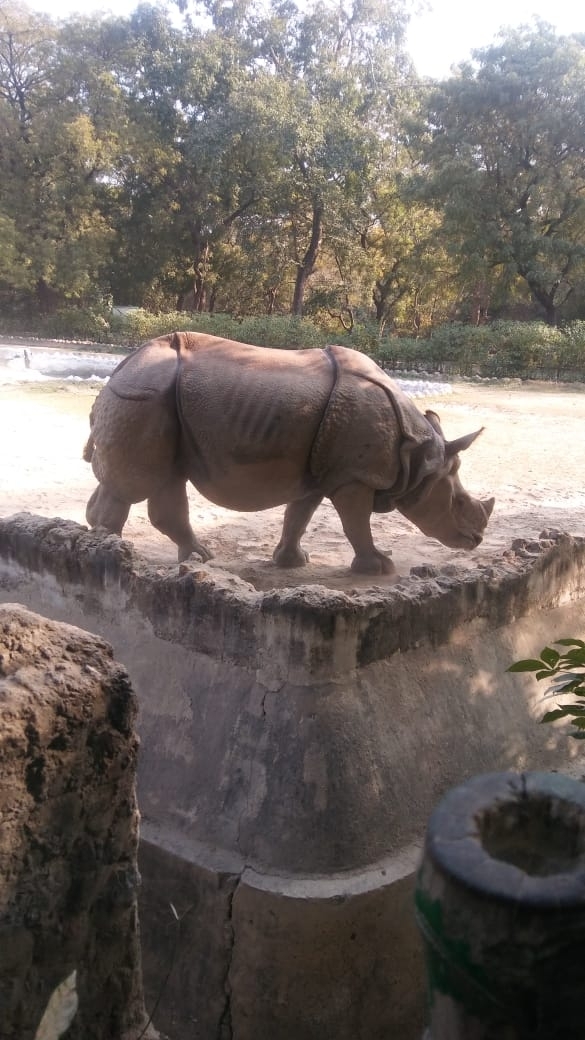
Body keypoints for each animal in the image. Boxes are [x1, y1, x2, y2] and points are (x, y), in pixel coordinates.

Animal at [83, 331, 494, 575]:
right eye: (458, 503)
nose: (477, 540)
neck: (417, 455)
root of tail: (124, 364)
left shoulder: (320, 473)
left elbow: (298, 516)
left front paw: (292, 562)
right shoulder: (353, 477)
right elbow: (355, 523)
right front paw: (381, 566)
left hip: (159, 401)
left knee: (162, 477)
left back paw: (189, 558)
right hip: (146, 397)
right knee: (139, 482)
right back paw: (114, 554)